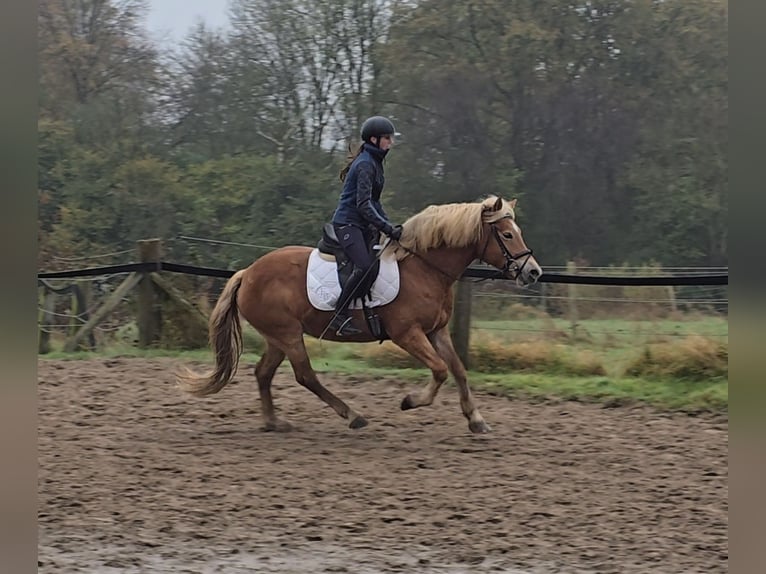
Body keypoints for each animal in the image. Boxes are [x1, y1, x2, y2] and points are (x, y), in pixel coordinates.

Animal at [177, 196, 544, 434]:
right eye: (507, 234)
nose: (533, 272)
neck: (425, 268)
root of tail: (247, 273)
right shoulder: (408, 334)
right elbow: (440, 370)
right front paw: (410, 401)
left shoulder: (436, 331)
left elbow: (458, 370)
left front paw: (476, 419)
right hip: (288, 334)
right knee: (305, 376)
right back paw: (352, 415)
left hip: (278, 337)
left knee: (264, 373)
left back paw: (273, 422)